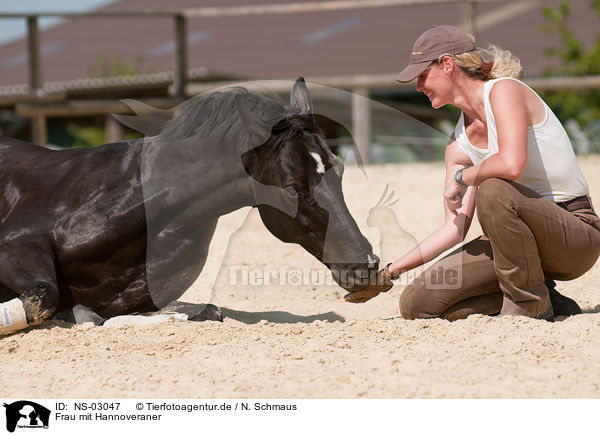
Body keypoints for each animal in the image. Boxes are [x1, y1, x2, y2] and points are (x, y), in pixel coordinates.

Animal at [0, 78, 380, 332]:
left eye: (339, 169)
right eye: (290, 189)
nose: (367, 269)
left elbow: (201, 312)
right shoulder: (16, 245)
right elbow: (45, 300)